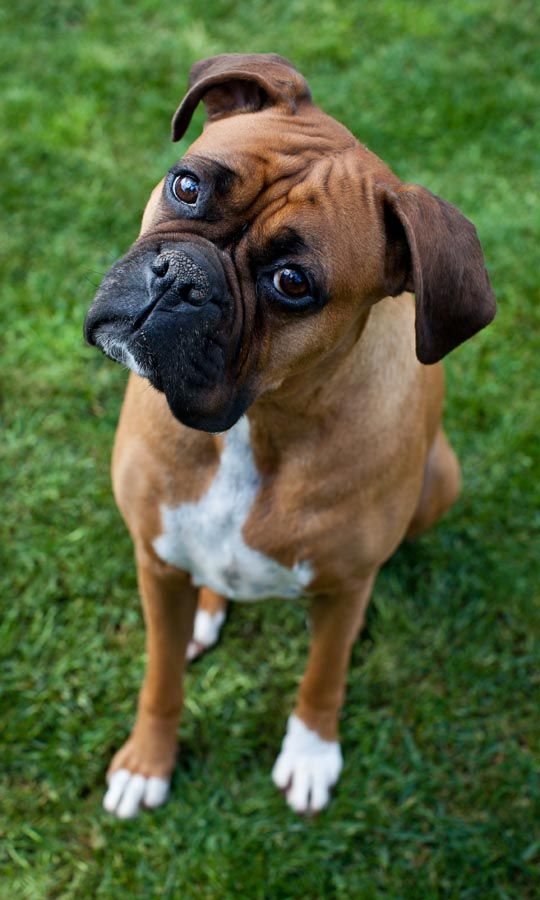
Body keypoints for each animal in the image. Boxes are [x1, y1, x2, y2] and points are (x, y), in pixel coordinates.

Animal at [83, 52, 494, 820]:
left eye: (293, 282)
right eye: (187, 185)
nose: (181, 279)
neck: (258, 422)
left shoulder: (342, 586)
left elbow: (322, 676)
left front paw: (310, 753)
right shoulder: (153, 560)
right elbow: (160, 679)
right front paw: (148, 761)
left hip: (442, 480)